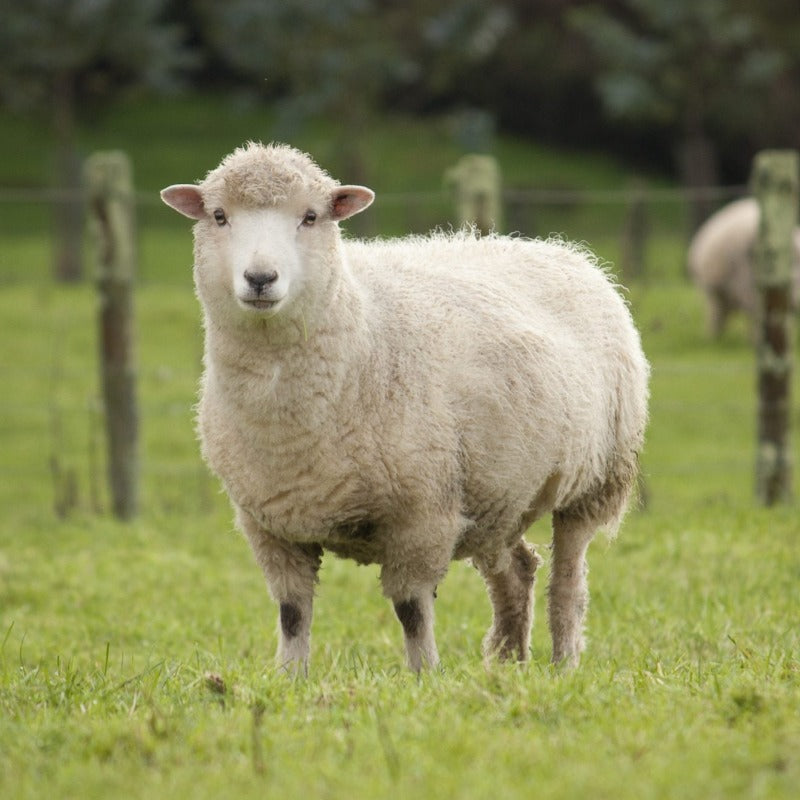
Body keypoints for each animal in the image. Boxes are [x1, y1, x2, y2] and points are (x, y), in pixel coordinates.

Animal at [161, 144, 648, 676]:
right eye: (219, 216)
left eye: (311, 217)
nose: (260, 278)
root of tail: (561, 250)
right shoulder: (270, 524)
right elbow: (292, 612)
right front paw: (290, 678)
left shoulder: (423, 514)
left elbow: (412, 609)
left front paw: (424, 677)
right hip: (496, 493)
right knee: (517, 571)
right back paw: (507, 664)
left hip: (595, 479)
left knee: (568, 583)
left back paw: (563, 664)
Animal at [684, 200, 800, 340]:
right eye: (792, 280)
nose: (796, 304)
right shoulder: (750, 288)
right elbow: (759, 317)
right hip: (716, 293)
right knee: (717, 314)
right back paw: (714, 338)